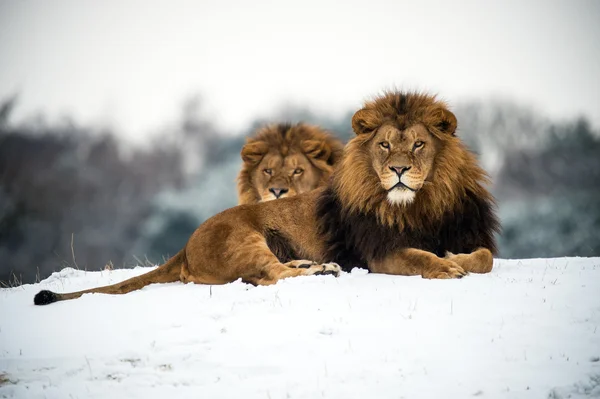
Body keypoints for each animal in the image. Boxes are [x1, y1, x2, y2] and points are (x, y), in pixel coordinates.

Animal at [32, 92, 502, 306]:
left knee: (271, 273)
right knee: (268, 276)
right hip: (244, 238)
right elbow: (421, 257)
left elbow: (485, 257)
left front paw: (456, 258)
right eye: (384, 145)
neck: (420, 204)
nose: (399, 170)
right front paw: (446, 266)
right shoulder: (379, 254)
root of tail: (185, 246)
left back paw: (316, 266)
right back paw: (321, 272)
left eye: (419, 144)